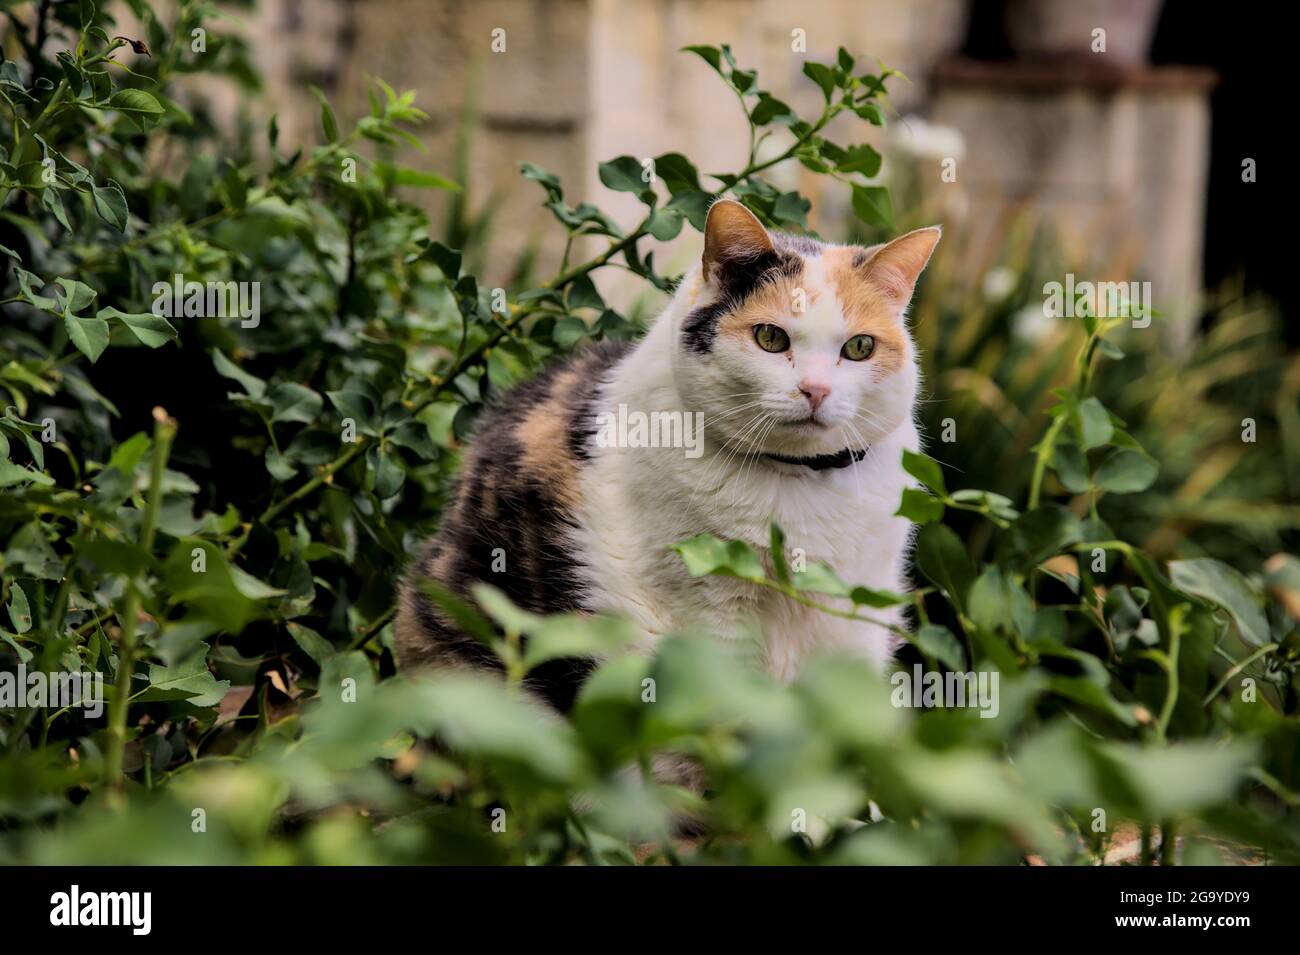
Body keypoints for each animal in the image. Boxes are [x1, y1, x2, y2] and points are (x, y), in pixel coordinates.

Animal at [390, 201, 941, 712]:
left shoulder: (855, 622)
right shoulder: (706, 617)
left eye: (860, 347)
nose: (817, 390)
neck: (796, 483)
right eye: (770, 337)